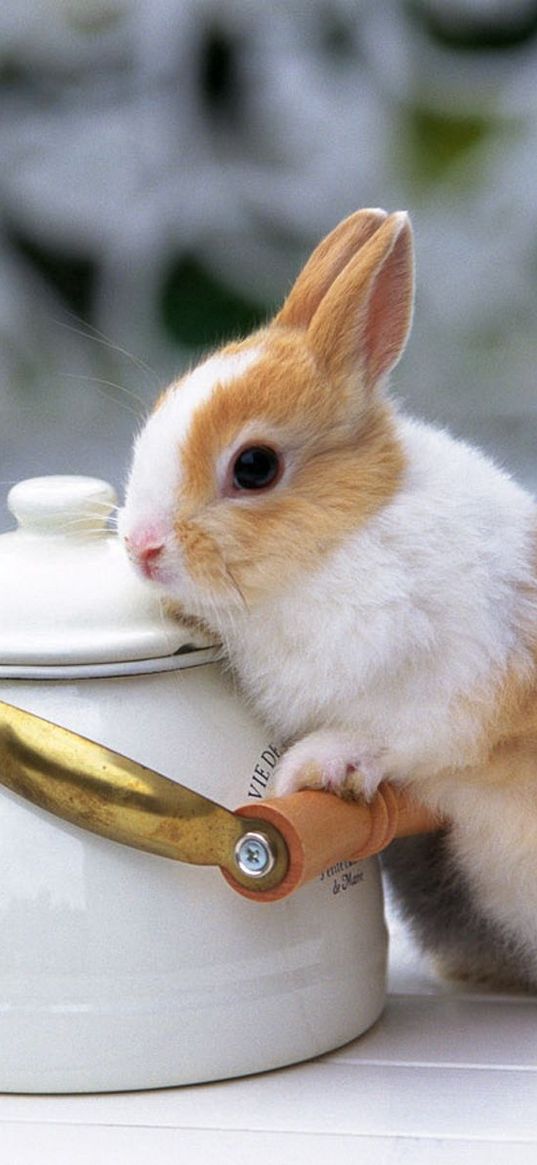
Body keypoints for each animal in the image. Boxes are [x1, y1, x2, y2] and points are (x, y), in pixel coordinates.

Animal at [119, 209, 535, 992]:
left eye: (254, 466)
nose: (140, 546)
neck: (339, 542)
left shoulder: (448, 690)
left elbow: (398, 737)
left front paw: (310, 768)